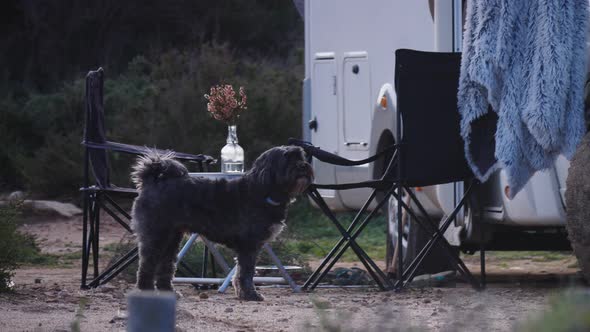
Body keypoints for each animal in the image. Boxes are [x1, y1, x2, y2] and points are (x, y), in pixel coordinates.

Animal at [130, 145, 314, 300]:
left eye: (301, 156)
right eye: (286, 158)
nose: (304, 166)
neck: (263, 190)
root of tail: (152, 180)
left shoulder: (249, 247)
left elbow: (240, 272)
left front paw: (243, 294)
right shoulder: (249, 245)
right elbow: (246, 273)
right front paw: (250, 295)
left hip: (171, 239)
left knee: (166, 266)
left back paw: (168, 292)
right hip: (156, 235)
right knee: (146, 265)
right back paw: (146, 291)